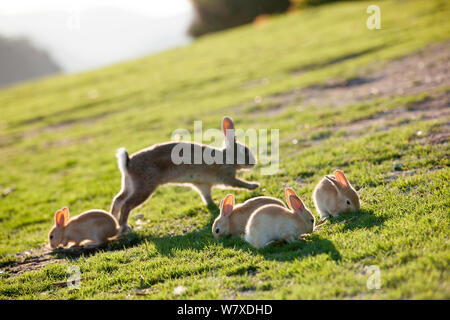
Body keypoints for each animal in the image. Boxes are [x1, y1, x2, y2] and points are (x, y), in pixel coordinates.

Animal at [110, 116, 258, 234]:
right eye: (245, 150)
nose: (254, 162)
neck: (227, 157)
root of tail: (128, 163)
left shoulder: (203, 184)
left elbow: (206, 196)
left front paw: (214, 205)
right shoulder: (227, 177)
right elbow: (239, 183)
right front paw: (254, 186)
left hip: (129, 184)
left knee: (118, 199)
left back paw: (114, 221)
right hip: (144, 186)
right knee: (126, 204)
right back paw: (125, 227)